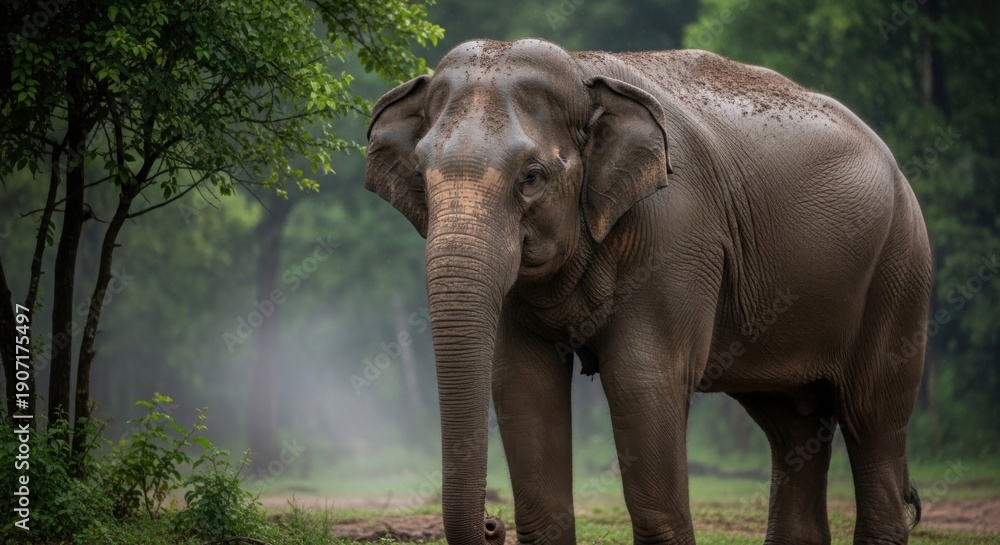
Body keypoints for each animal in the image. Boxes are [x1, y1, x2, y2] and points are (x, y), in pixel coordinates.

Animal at [364, 38, 931, 545]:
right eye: (419, 174)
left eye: (532, 177)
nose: (491, 524)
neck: (581, 72)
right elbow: (522, 383)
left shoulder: (676, 233)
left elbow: (641, 380)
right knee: (792, 425)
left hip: (899, 270)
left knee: (872, 416)